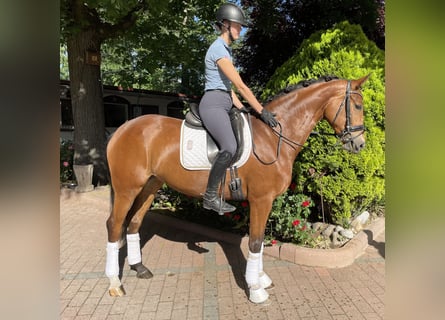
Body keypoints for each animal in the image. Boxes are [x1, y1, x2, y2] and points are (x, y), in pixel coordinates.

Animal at [104, 74, 368, 302]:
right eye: (357, 106)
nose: (359, 144)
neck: (272, 136)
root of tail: (123, 129)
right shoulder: (261, 200)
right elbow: (255, 242)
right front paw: (256, 289)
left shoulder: (265, 202)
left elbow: (258, 241)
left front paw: (261, 279)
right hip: (127, 189)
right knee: (115, 225)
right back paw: (115, 283)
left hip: (150, 186)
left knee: (134, 223)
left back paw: (139, 268)